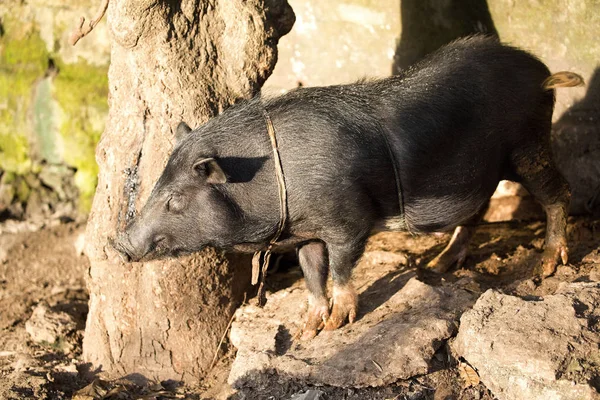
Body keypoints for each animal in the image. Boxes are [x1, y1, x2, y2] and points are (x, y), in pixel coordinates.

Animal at [112, 36, 580, 340]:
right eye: (156, 187)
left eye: (174, 201)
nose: (119, 244)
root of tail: (542, 73)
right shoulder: (305, 233)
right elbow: (311, 274)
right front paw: (307, 330)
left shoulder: (347, 220)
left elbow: (340, 267)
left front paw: (339, 323)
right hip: (481, 169)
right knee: (478, 211)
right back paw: (442, 263)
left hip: (528, 145)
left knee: (558, 194)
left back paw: (546, 266)